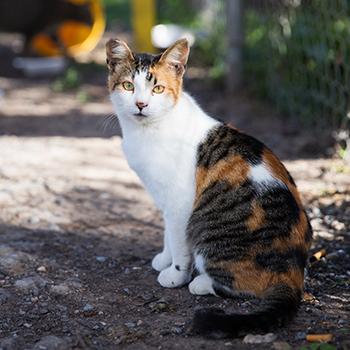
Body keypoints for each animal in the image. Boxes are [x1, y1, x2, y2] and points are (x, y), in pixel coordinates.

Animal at [105, 37, 314, 336]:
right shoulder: (165, 200)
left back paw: (201, 282)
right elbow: (168, 235)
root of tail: (293, 273)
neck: (147, 132)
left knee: (242, 286)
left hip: (207, 230)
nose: (141, 104)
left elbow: (179, 241)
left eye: (158, 89)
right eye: (128, 86)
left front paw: (175, 274)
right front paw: (164, 258)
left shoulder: (180, 202)